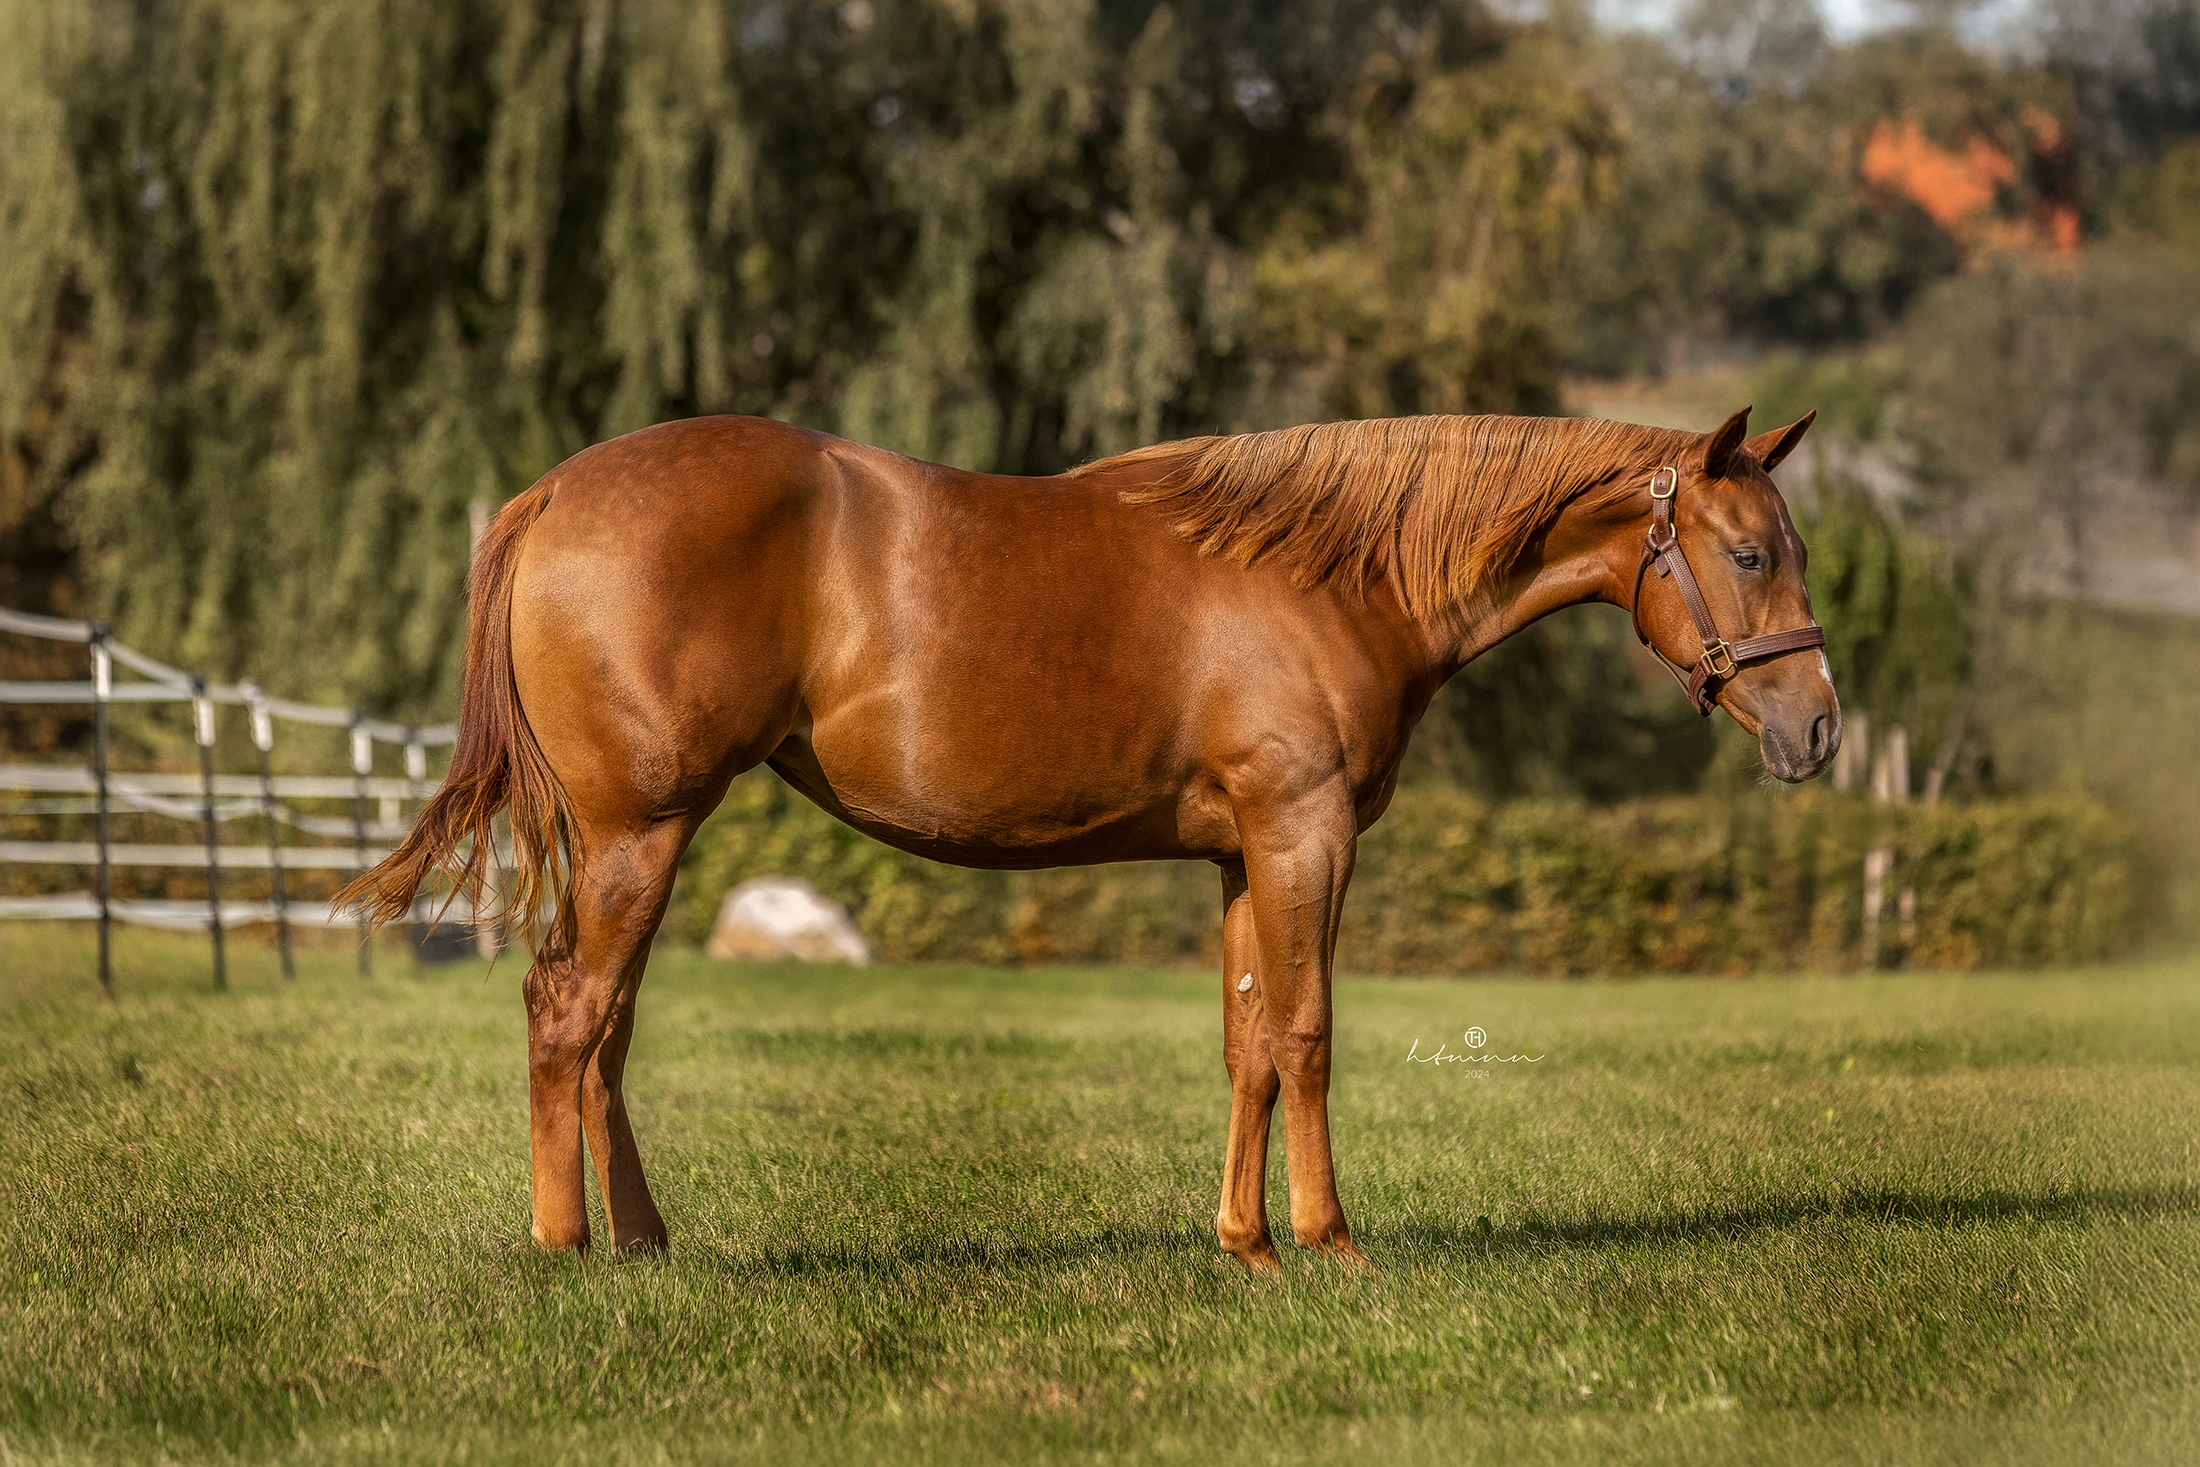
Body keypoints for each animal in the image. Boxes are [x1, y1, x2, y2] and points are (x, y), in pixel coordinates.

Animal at [347, 404, 1839, 1275]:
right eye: (1750, 553)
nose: (1817, 728)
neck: (1328, 572)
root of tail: (549, 496)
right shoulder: (1303, 835)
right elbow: (1308, 1033)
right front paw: (1332, 1244)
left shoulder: (1245, 853)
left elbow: (1248, 1042)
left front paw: (1246, 1247)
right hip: (637, 832)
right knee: (570, 1012)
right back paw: (565, 1249)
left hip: (645, 840)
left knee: (601, 1024)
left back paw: (642, 1243)